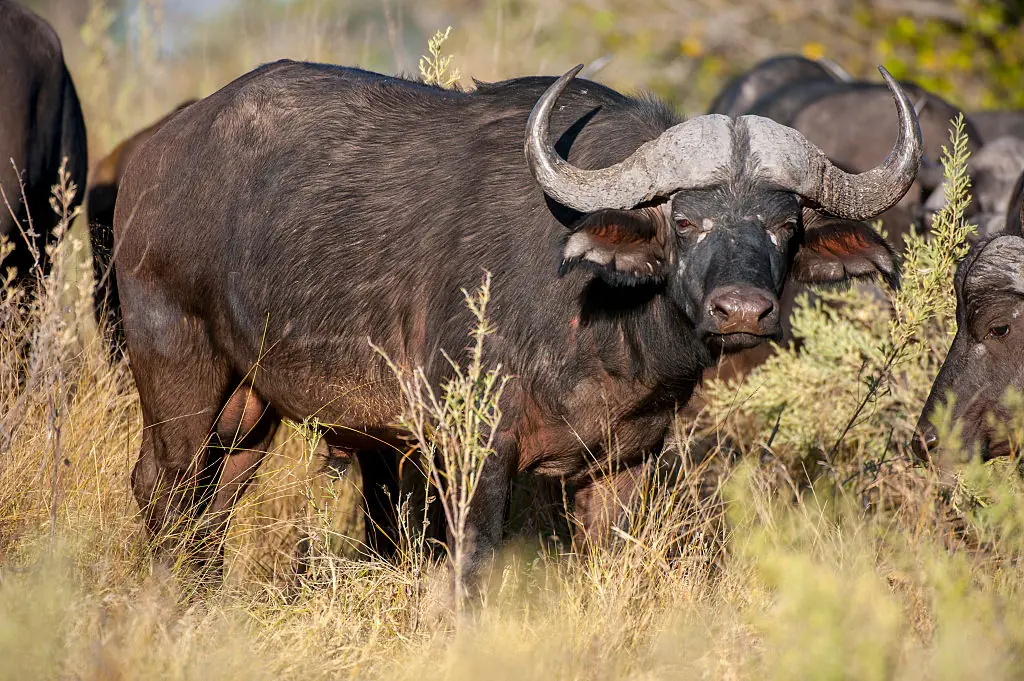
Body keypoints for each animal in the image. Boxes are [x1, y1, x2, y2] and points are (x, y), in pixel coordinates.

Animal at [113, 60, 921, 586]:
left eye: (785, 226)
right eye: (685, 219)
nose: (743, 310)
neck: (597, 318)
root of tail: (156, 152)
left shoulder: (626, 462)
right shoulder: (472, 443)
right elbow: (472, 561)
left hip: (250, 406)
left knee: (214, 499)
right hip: (176, 364)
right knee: (163, 487)